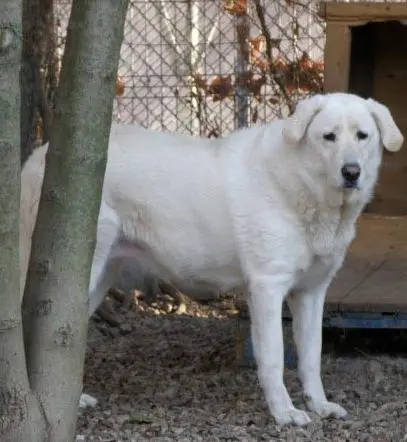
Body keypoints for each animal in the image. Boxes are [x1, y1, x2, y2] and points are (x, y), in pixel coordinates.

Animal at [21, 92, 404, 424]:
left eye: (363, 136)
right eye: (329, 137)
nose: (351, 172)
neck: (303, 186)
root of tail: (40, 155)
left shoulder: (311, 294)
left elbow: (311, 358)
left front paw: (320, 405)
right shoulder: (267, 289)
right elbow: (274, 359)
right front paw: (284, 414)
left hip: (94, 279)